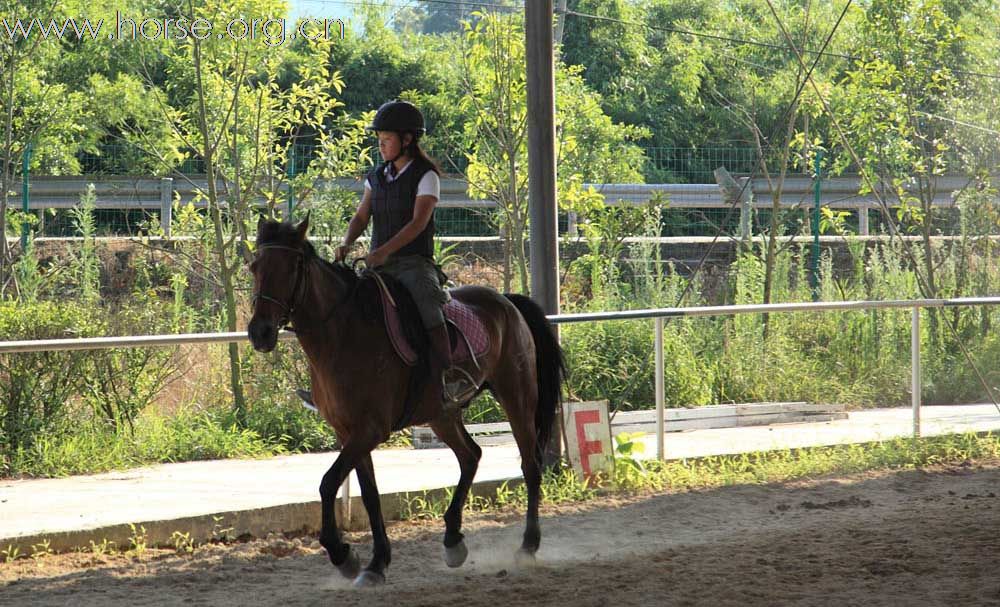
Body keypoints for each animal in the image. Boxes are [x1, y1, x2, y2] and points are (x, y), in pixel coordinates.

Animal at [246, 216, 568, 588]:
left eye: (291, 267)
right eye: (254, 267)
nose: (259, 332)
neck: (344, 333)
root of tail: (506, 300)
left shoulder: (370, 430)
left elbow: (328, 483)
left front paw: (344, 556)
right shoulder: (349, 433)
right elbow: (369, 496)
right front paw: (375, 563)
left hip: (517, 397)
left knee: (529, 465)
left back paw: (528, 546)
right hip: (442, 415)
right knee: (471, 456)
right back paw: (453, 540)